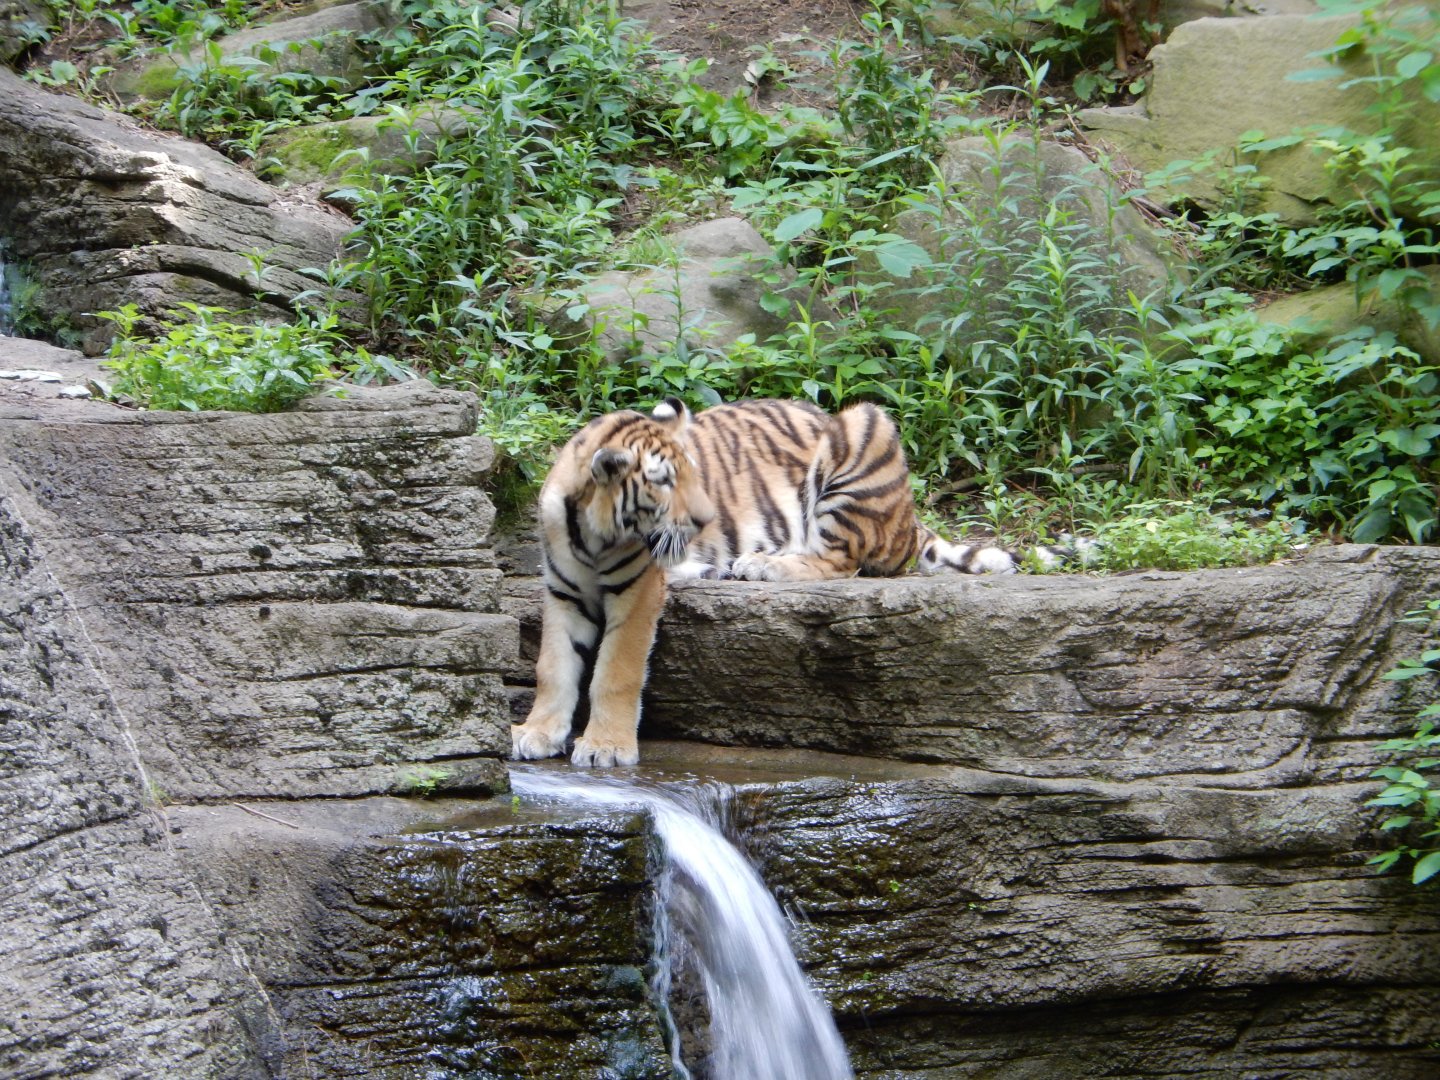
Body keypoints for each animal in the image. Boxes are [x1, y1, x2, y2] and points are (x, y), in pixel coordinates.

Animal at [511, 397, 1078, 767]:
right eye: (664, 481)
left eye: (694, 472)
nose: (705, 520)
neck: (592, 529)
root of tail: (911, 518)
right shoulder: (562, 592)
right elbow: (553, 667)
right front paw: (535, 734)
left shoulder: (638, 591)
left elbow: (616, 670)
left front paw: (605, 747)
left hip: (863, 429)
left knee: (842, 559)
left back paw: (763, 564)